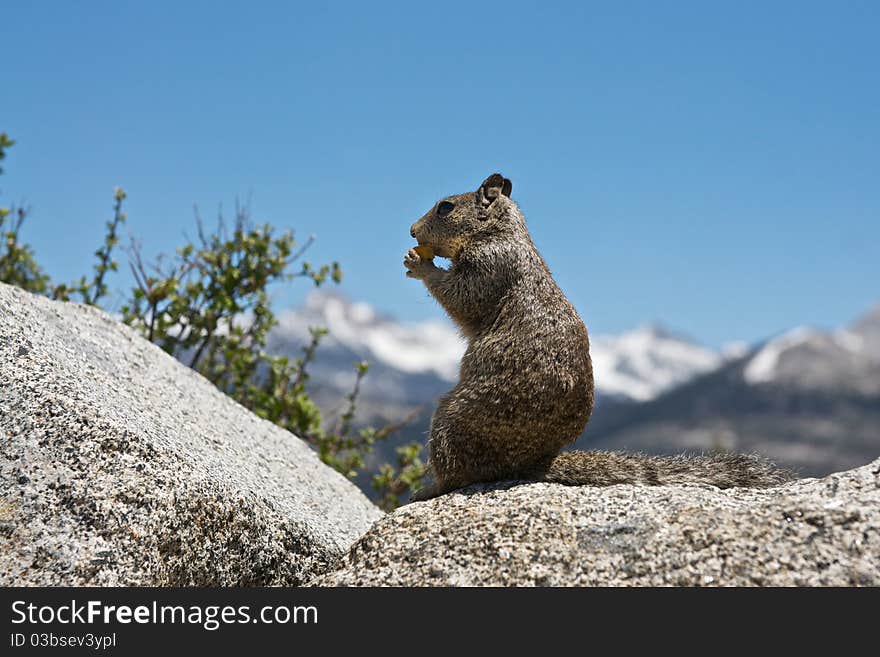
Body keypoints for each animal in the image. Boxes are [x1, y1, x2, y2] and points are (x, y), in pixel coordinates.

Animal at [402, 172, 796, 500]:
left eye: (446, 206)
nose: (411, 231)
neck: (499, 232)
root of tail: (533, 464)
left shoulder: (489, 265)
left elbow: (462, 296)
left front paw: (419, 264)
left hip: (451, 418)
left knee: (461, 474)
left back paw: (428, 489)